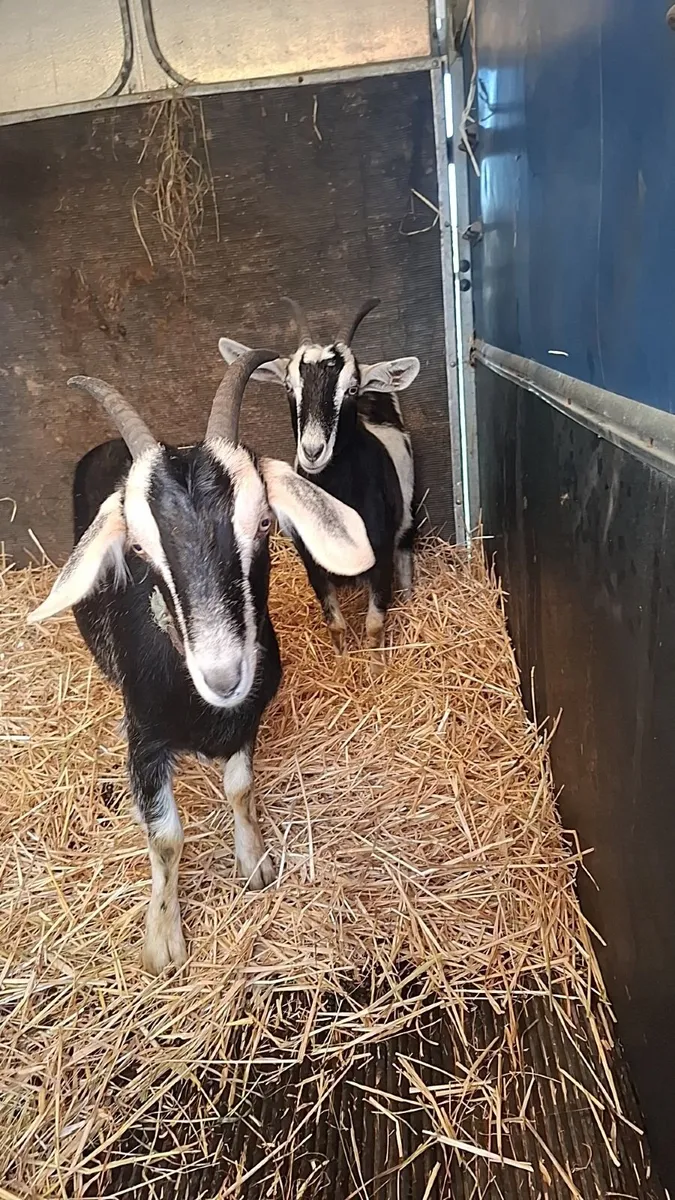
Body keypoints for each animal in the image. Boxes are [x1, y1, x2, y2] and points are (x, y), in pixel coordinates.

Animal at [27, 353, 375, 973]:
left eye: (264, 524)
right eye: (138, 548)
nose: (224, 675)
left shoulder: (246, 722)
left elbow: (239, 788)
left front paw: (255, 863)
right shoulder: (145, 736)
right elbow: (165, 835)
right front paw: (163, 941)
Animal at [219, 300, 420, 667]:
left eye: (351, 388)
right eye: (288, 387)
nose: (313, 451)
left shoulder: (381, 554)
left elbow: (374, 622)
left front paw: (375, 669)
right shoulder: (310, 559)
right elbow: (335, 623)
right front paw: (341, 664)